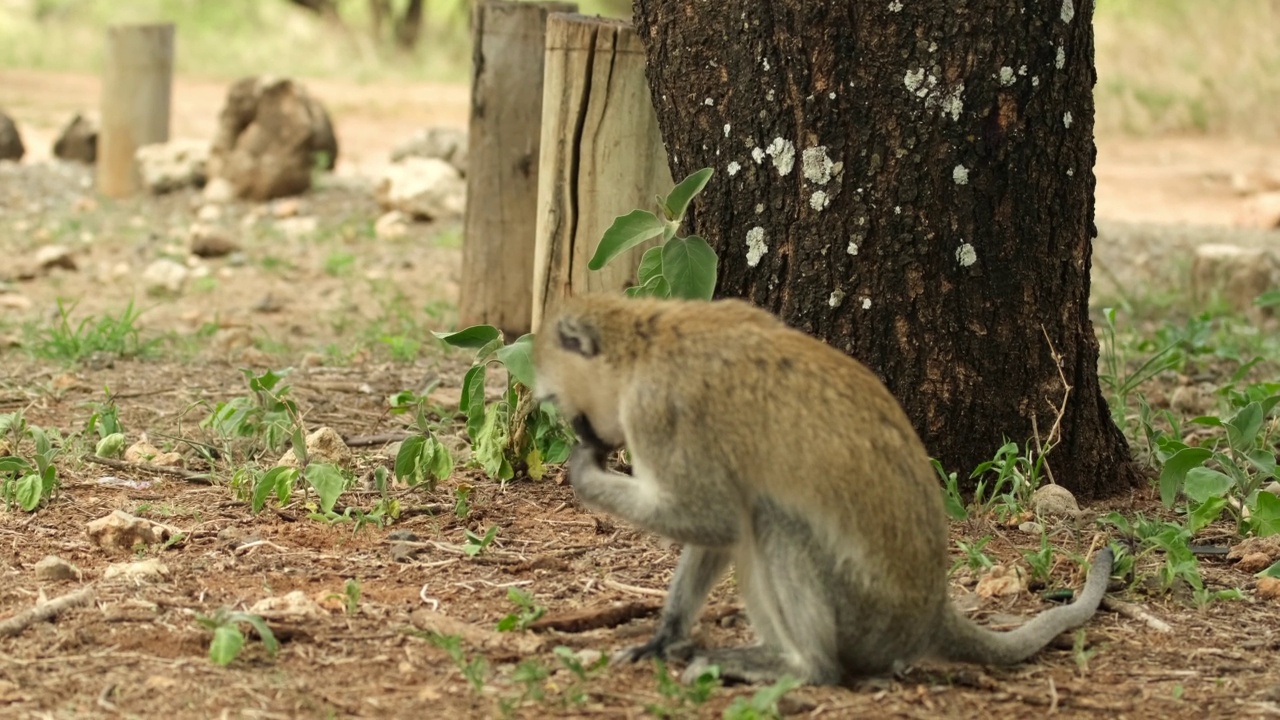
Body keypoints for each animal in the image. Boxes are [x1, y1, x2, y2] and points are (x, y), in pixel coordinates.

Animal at [529, 293, 1111, 681]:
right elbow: (721, 528)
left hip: (864, 617)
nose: (585, 433)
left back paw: (805, 667)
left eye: (560, 403)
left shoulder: (658, 410)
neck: (644, 344)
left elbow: (714, 518)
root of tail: (931, 614)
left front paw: (584, 472)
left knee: (771, 522)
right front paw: (666, 633)